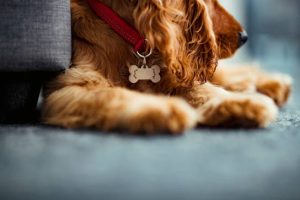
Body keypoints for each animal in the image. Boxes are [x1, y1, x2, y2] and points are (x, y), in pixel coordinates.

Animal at [41, 0, 290, 134]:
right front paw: (164, 109)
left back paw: (270, 84)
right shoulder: (68, 88)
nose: (244, 36)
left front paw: (243, 104)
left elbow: (202, 89)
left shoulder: (173, 74)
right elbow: (112, 95)